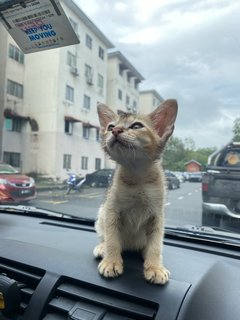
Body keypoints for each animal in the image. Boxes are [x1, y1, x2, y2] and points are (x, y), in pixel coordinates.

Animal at [94, 99, 178, 284]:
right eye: (110, 126)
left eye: (137, 126)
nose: (116, 130)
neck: (137, 176)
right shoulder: (112, 210)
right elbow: (112, 239)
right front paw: (111, 262)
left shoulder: (157, 215)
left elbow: (155, 245)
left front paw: (155, 267)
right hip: (101, 212)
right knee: (104, 236)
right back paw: (102, 247)